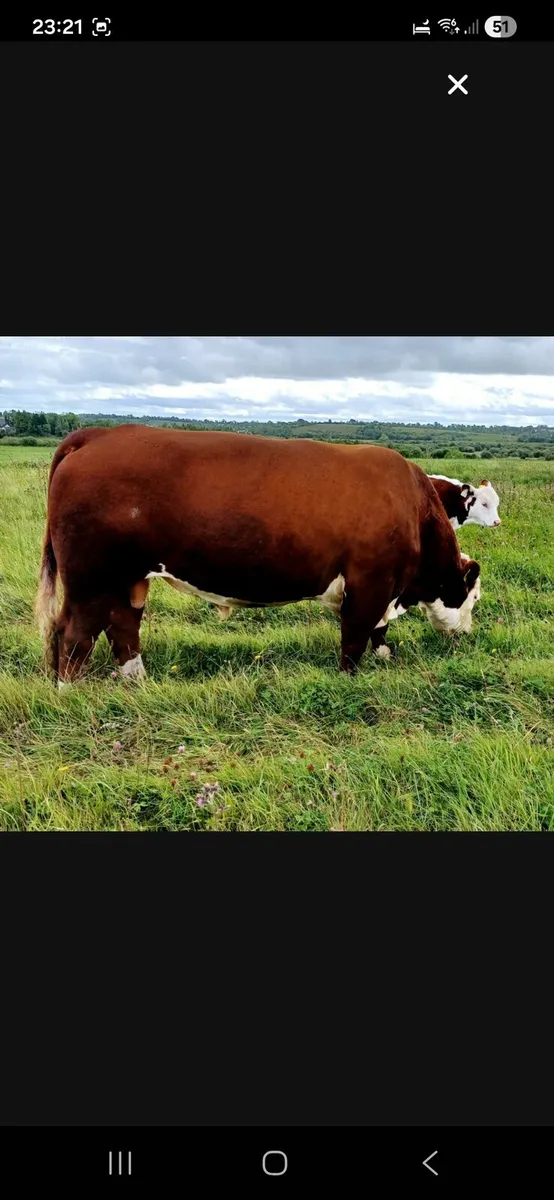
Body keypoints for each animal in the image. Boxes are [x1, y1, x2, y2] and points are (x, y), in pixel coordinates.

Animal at [35, 426, 481, 686]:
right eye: (473, 596)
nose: (467, 634)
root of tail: (99, 434)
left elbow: (377, 630)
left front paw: (385, 655)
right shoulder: (370, 583)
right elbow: (355, 637)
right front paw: (349, 680)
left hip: (130, 577)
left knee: (123, 625)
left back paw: (136, 681)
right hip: (90, 577)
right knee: (73, 633)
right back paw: (70, 690)